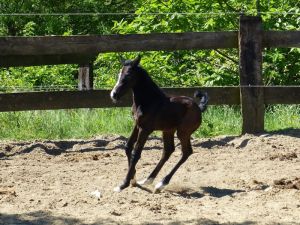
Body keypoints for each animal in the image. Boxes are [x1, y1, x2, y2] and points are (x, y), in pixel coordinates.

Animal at [110, 55, 209, 192]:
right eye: (119, 74)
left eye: (128, 75)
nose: (114, 95)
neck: (149, 101)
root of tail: (199, 108)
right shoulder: (137, 125)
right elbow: (128, 147)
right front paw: (133, 180)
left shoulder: (145, 129)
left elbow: (136, 153)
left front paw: (123, 184)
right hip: (168, 131)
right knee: (168, 151)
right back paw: (149, 180)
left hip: (183, 133)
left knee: (186, 152)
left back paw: (162, 183)